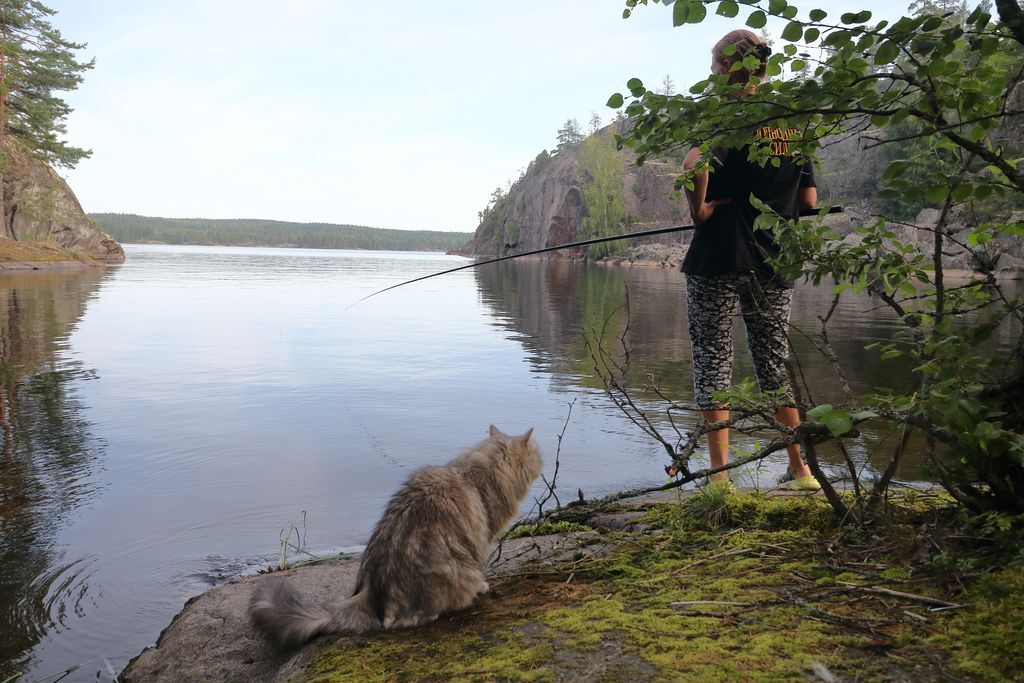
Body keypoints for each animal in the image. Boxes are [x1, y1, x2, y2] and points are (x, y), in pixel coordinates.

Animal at [248, 423, 540, 651]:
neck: (474, 472)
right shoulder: (485, 536)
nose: (542, 463)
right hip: (458, 569)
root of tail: (372, 593)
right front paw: (484, 585)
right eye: (537, 455)